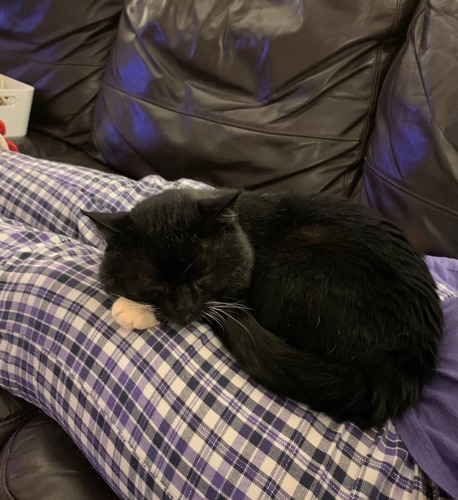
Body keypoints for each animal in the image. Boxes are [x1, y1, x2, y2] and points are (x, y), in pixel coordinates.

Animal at [83, 189, 444, 428]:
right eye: (154, 284)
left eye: (203, 275)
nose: (184, 309)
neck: (242, 232)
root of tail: (408, 362)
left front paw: (131, 309)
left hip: (298, 257)